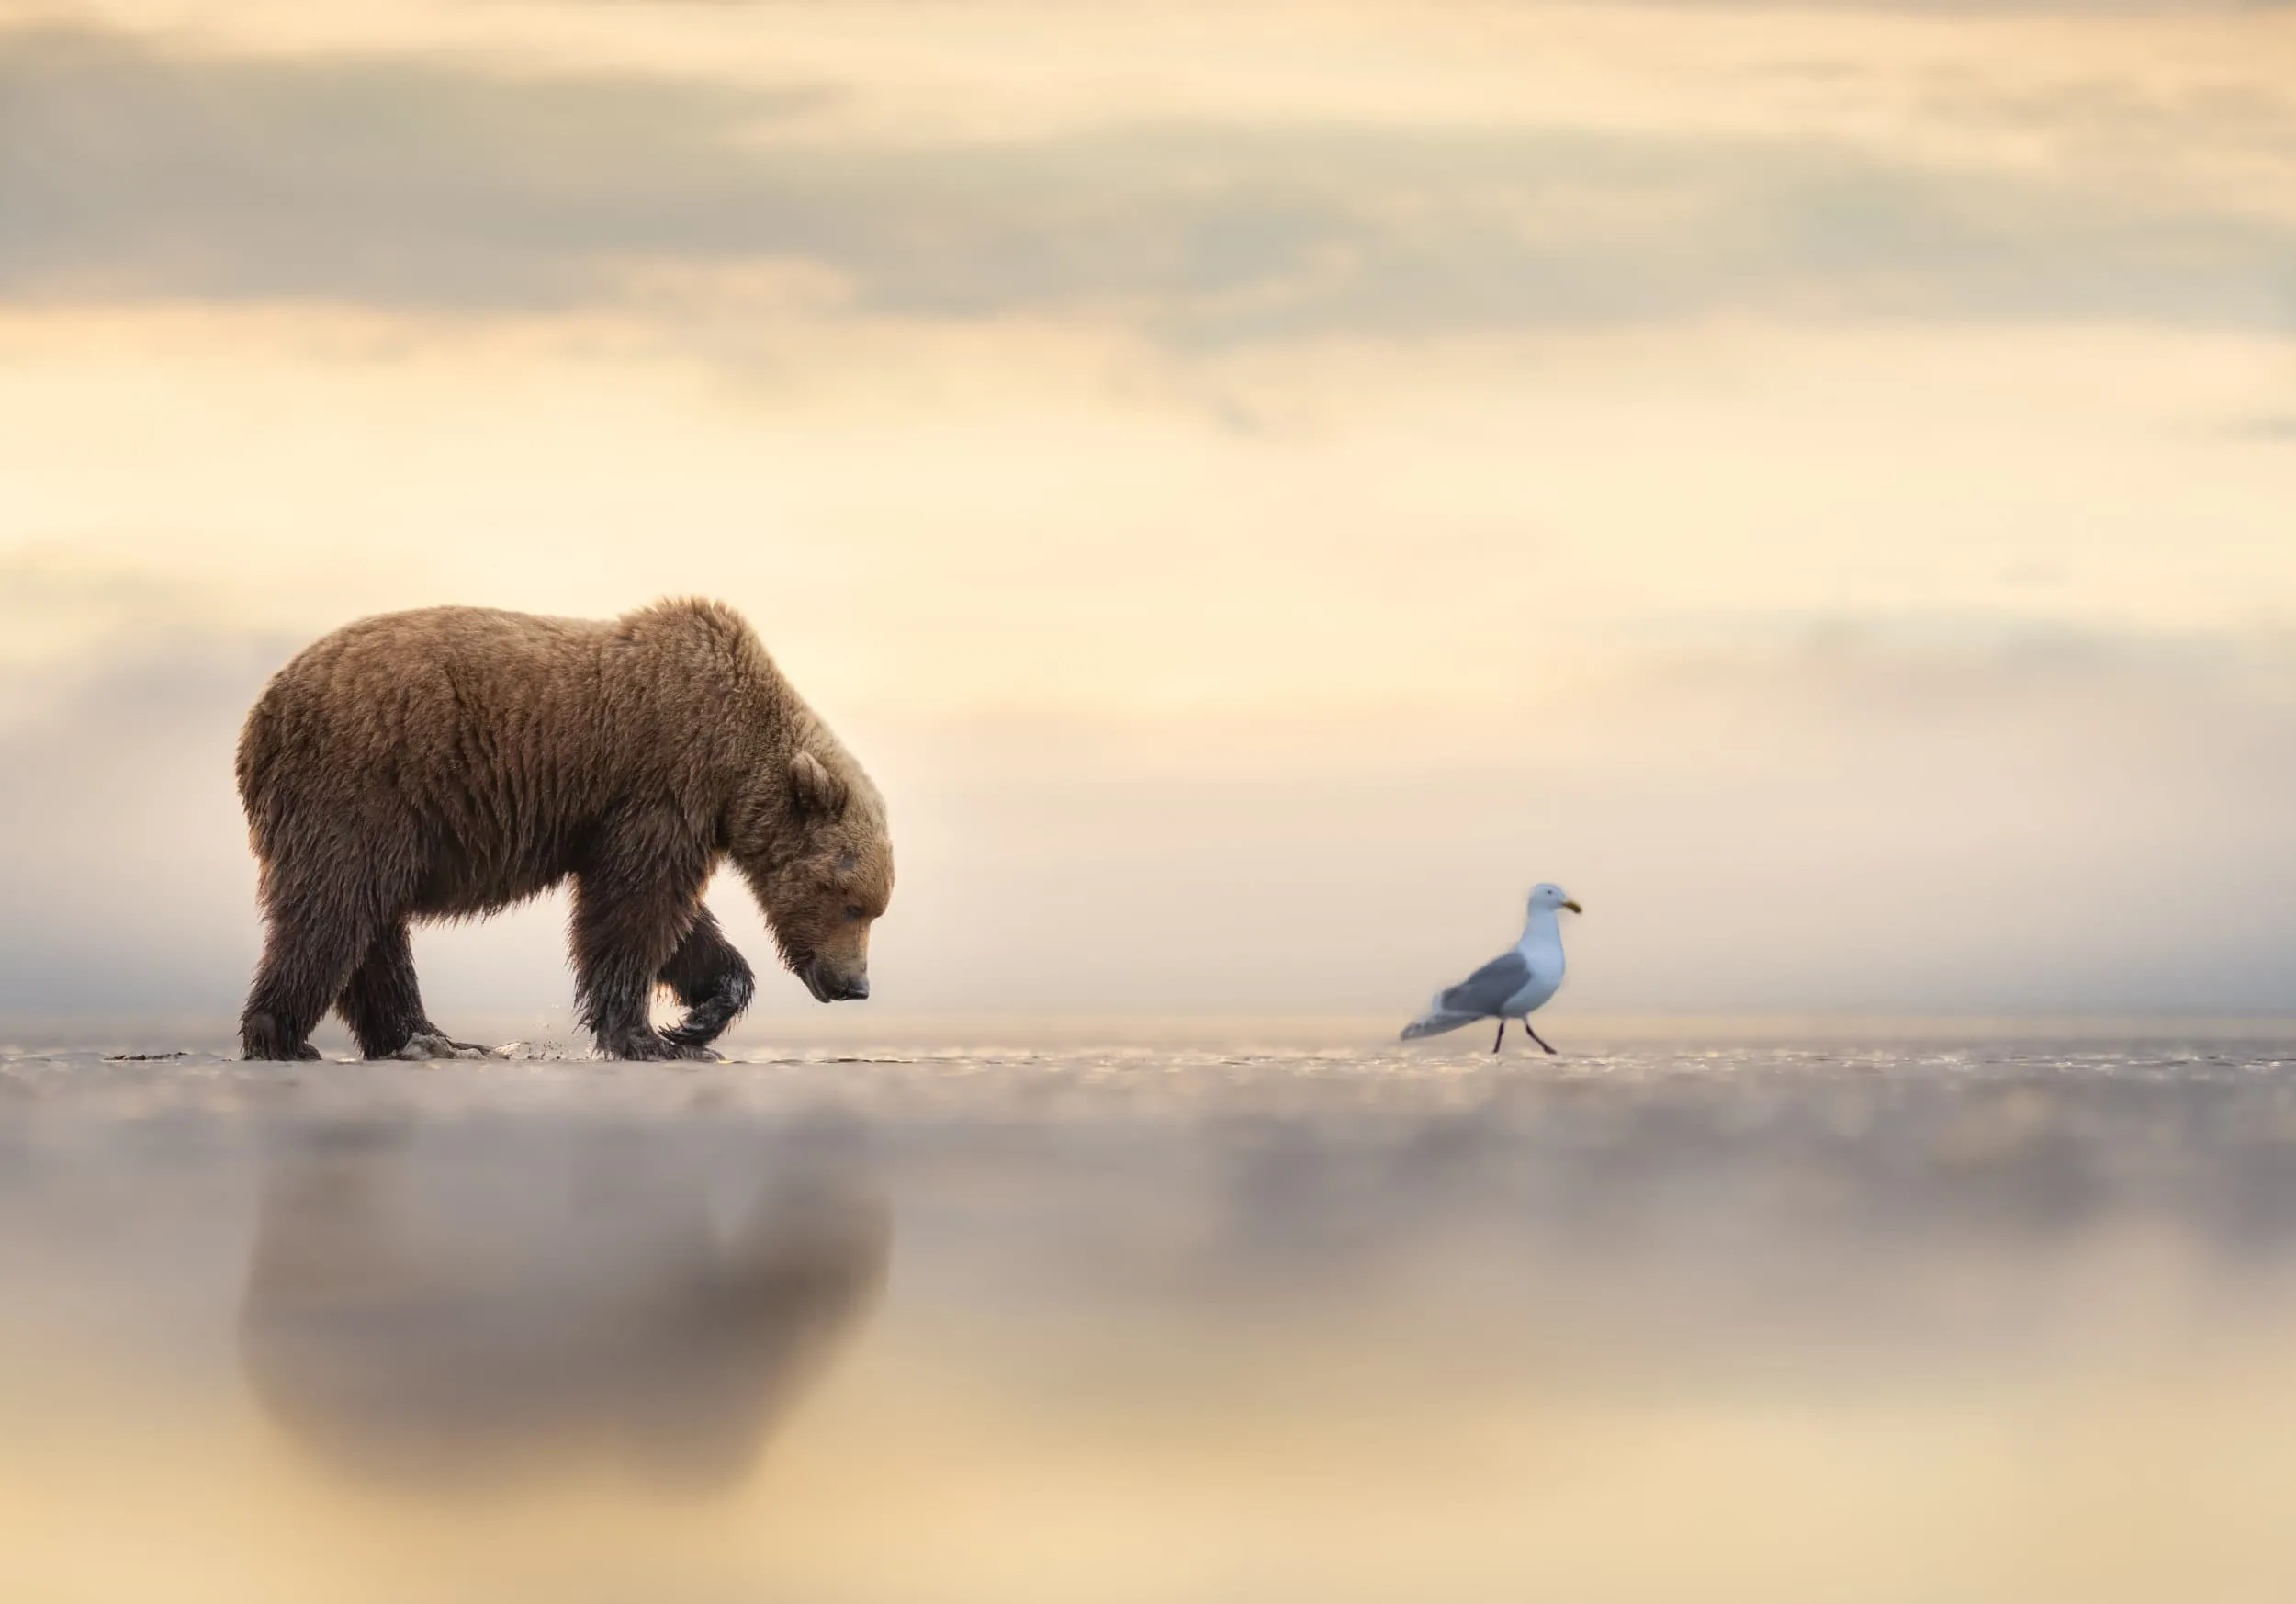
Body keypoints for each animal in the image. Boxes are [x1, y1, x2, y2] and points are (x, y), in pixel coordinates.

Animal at [233, 598, 892, 1061]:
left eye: (875, 908)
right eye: (853, 905)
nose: (856, 984)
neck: (736, 759)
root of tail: (261, 715)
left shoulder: (661, 814)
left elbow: (674, 920)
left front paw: (699, 1019)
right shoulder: (664, 784)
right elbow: (633, 907)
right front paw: (645, 1036)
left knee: (372, 923)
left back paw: (425, 1037)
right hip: (364, 784)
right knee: (336, 906)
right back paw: (282, 1035)